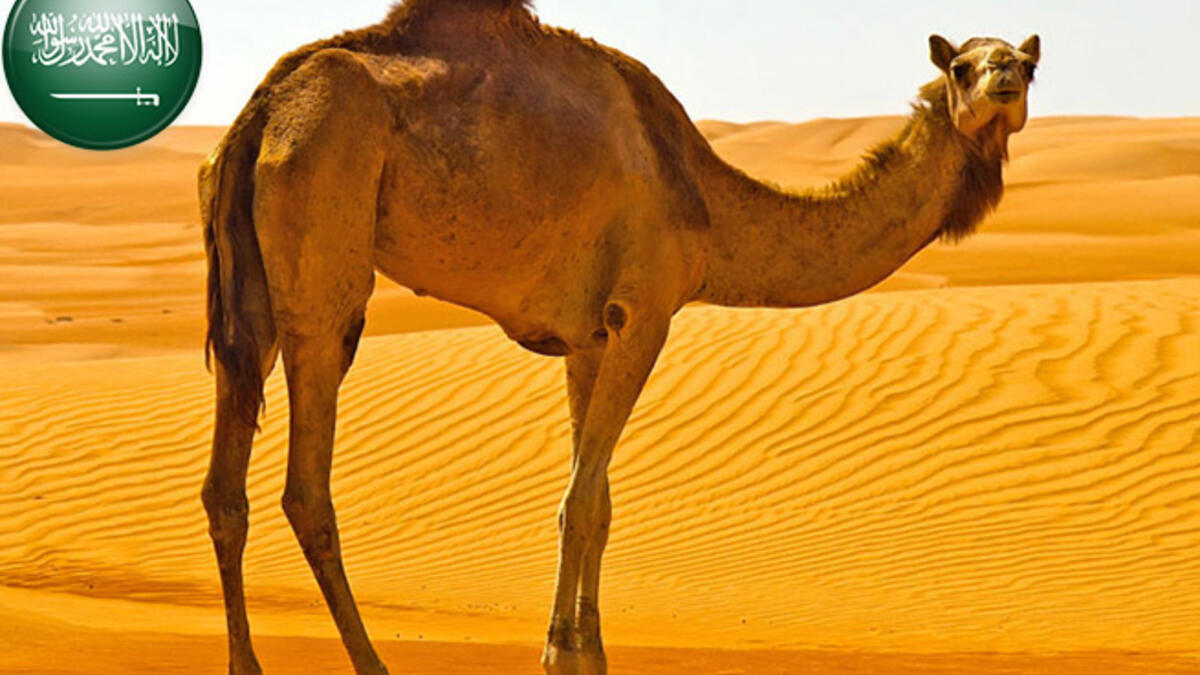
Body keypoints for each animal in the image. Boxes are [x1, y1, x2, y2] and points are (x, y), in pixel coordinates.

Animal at [198, 1, 1040, 673]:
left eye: (1028, 63)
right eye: (962, 65)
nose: (1004, 79)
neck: (706, 205)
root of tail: (261, 110)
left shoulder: (587, 339)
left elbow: (598, 502)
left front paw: (589, 649)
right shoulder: (645, 311)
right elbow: (578, 500)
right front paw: (558, 650)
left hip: (251, 286)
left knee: (225, 483)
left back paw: (246, 663)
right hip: (324, 226)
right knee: (307, 485)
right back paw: (370, 660)